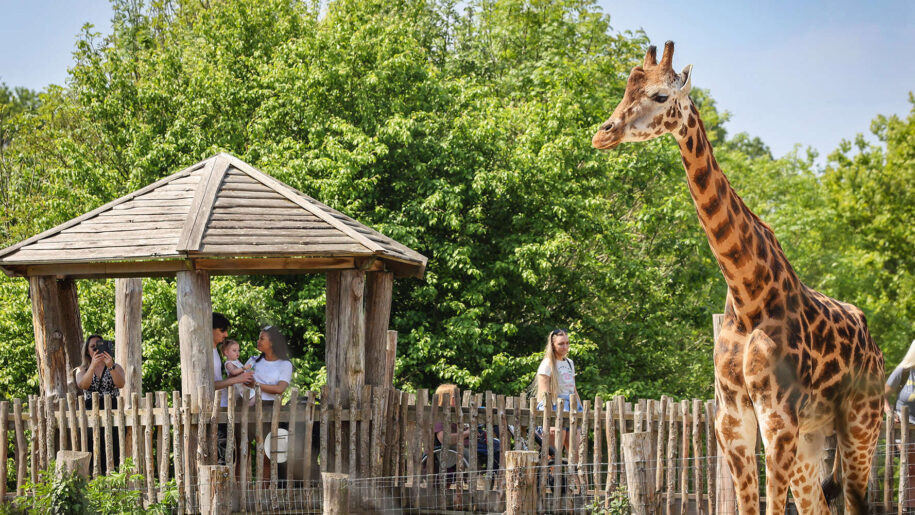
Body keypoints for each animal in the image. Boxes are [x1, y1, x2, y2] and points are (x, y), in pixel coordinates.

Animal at [592, 42, 885, 515]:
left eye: (659, 95)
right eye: (625, 90)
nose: (603, 133)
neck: (748, 294)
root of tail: (875, 348)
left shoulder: (777, 420)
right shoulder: (731, 421)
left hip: (861, 425)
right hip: (812, 439)